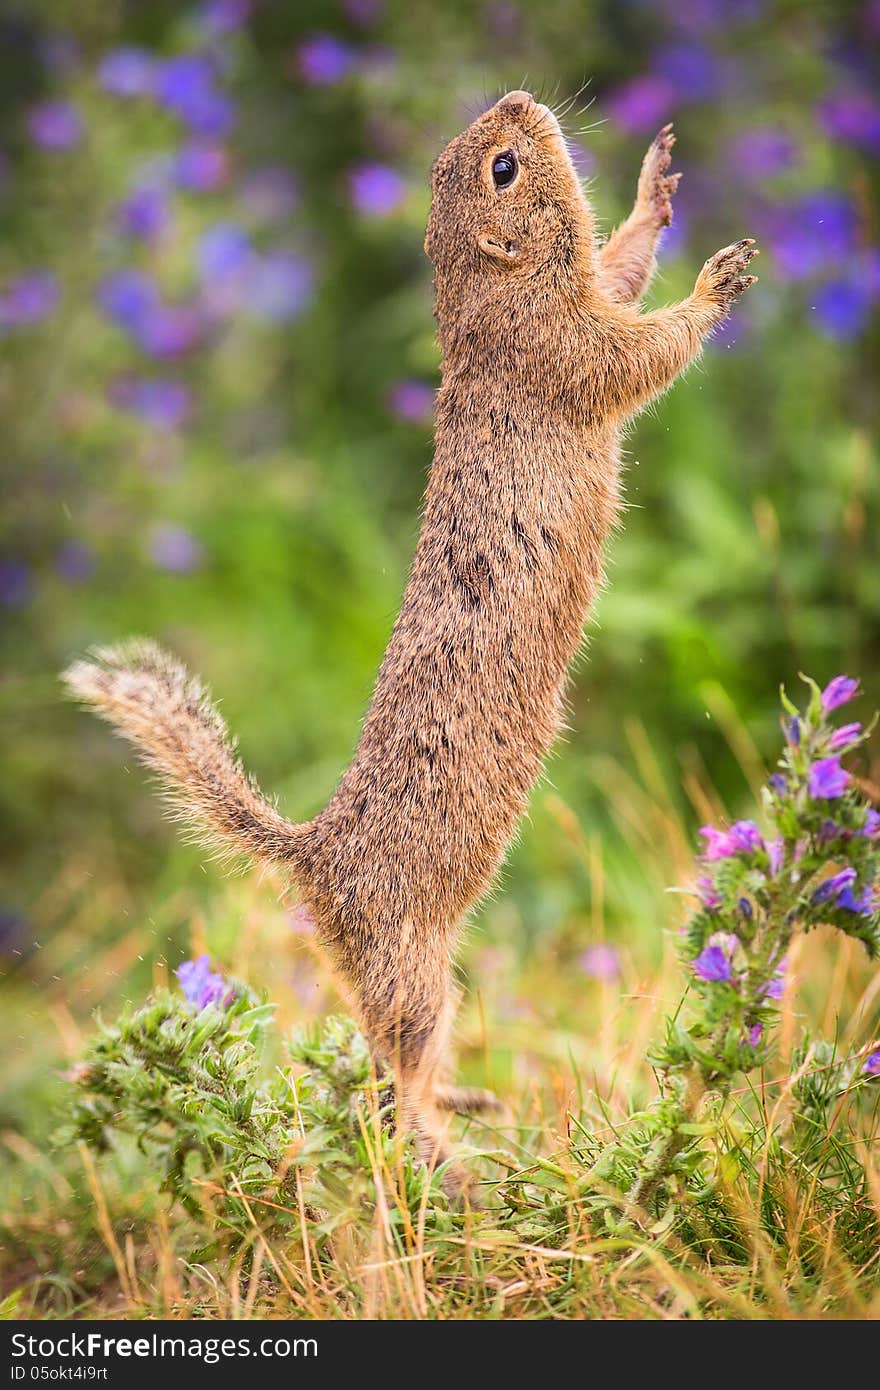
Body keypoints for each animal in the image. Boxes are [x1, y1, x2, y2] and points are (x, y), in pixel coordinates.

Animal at [67, 92, 756, 1189]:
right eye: (504, 168)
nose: (515, 100)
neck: (487, 294)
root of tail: (314, 859)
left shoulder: (590, 296)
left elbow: (621, 263)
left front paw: (656, 186)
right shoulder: (566, 349)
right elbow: (643, 354)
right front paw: (713, 283)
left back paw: (466, 1107)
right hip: (414, 969)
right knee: (391, 1083)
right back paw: (448, 1148)